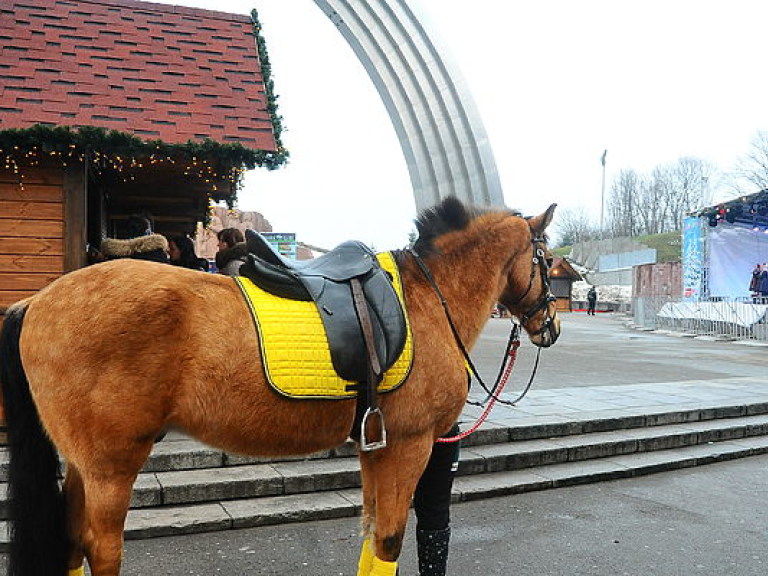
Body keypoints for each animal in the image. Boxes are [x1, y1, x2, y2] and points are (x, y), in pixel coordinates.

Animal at [1, 196, 560, 572]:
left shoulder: (375, 445)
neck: (428, 297)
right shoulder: (410, 444)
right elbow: (390, 540)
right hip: (110, 467)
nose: (550, 325)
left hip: (82, 464)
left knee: (70, 542)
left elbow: (371, 530)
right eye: (548, 259)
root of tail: (37, 301)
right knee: (101, 548)